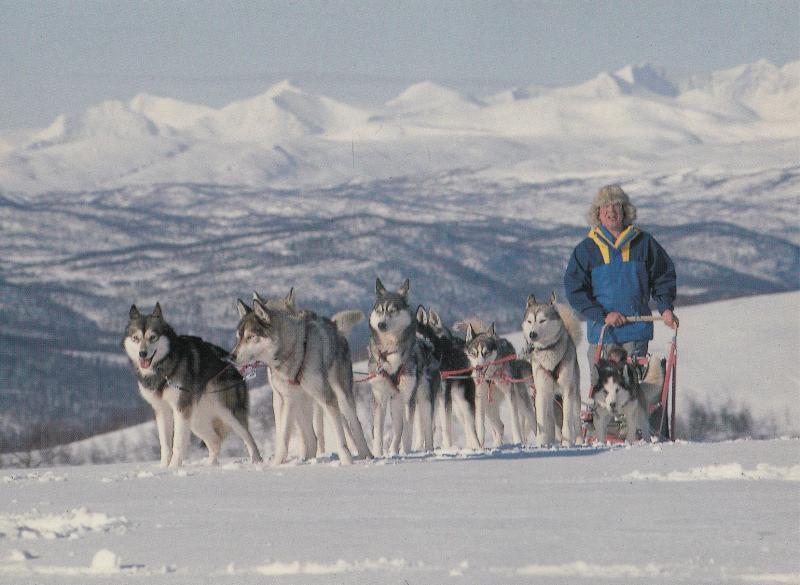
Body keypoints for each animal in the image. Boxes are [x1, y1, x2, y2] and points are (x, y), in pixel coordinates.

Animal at [122, 304, 260, 468]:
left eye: (152, 337)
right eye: (135, 338)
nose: (142, 353)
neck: (165, 367)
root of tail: (233, 367)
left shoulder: (180, 409)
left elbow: (177, 443)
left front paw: (173, 467)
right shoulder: (162, 410)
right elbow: (165, 444)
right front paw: (163, 467)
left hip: (227, 413)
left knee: (249, 438)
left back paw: (257, 462)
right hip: (195, 419)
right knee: (215, 441)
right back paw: (210, 466)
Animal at [230, 292, 370, 466]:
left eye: (250, 337)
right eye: (238, 337)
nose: (231, 356)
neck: (293, 350)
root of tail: (334, 326)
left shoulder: (326, 397)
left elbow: (339, 436)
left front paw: (346, 461)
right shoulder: (285, 399)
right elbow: (283, 438)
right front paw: (276, 464)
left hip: (340, 395)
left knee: (354, 424)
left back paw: (366, 455)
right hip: (303, 401)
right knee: (312, 437)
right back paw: (306, 459)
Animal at [416, 308, 478, 450]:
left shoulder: (442, 396)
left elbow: (445, 427)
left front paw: (448, 447)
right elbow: (422, 427)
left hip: (463, 401)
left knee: (471, 425)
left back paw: (477, 446)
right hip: (455, 406)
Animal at [520, 292, 584, 448]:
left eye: (542, 320)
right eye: (530, 321)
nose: (532, 334)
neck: (548, 351)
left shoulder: (567, 391)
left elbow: (567, 423)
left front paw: (567, 444)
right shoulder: (541, 392)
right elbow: (542, 424)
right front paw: (542, 444)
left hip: (574, 396)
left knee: (576, 422)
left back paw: (579, 441)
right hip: (549, 400)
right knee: (549, 422)